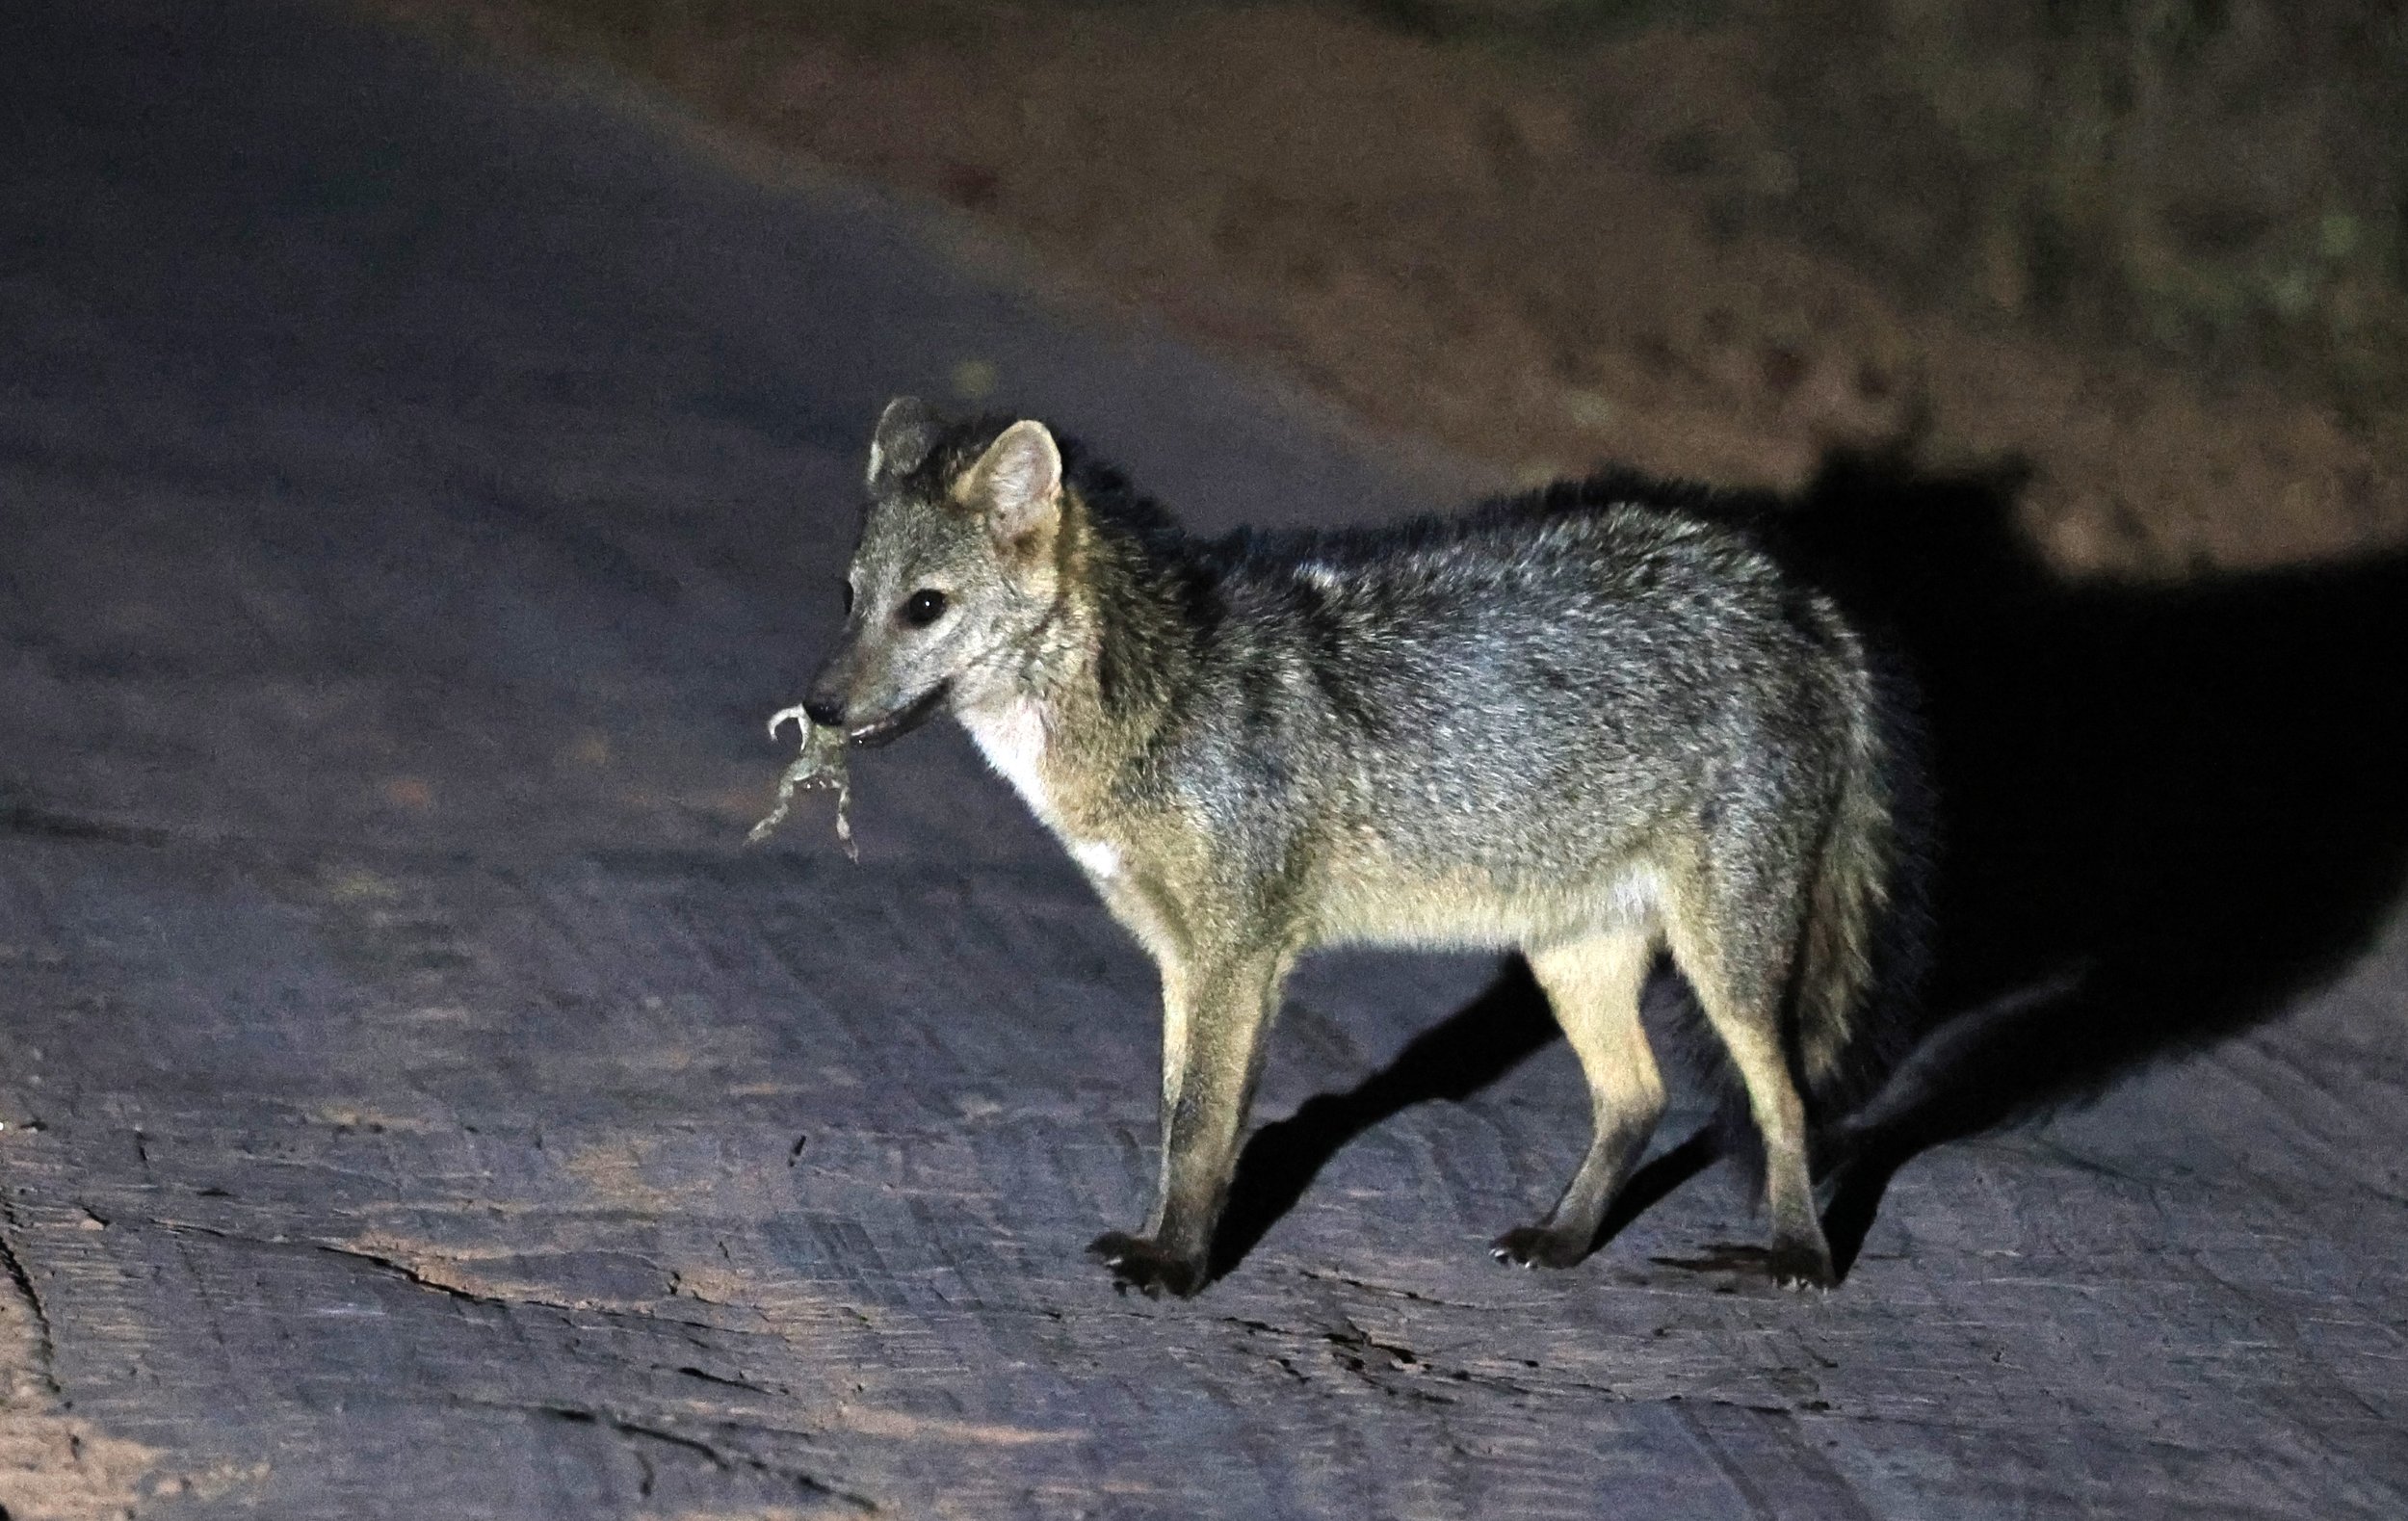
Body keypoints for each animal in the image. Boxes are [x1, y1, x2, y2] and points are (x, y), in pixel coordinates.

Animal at [800, 396, 1922, 1297]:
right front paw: (1166, 1240)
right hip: (1569, 953)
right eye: (848, 597)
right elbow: (1175, 1119)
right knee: (1637, 1097)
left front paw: (1176, 1267)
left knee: (1785, 1102)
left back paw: (1800, 1258)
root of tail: (1798, 597)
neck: (1157, 701)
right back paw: (1561, 1241)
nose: (816, 708)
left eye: (925, 607)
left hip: (1725, 962)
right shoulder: (1181, 958)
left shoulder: (1240, 956)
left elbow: (1201, 1126)